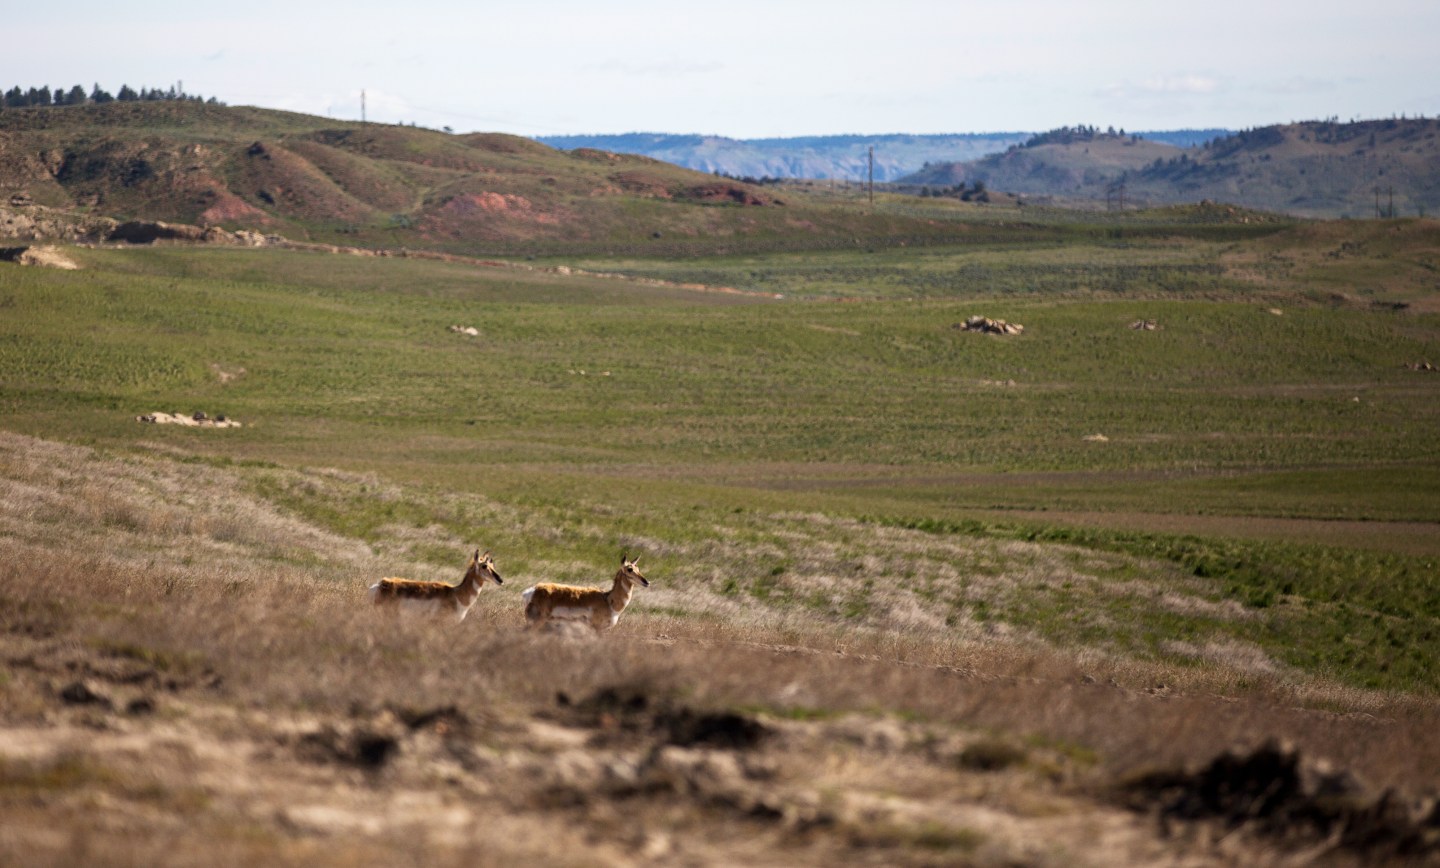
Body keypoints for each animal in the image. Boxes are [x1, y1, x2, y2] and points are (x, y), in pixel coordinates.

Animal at [521, 553, 649, 633]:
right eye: (629, 569)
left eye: (638, 568)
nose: (646, 582)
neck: (608, 600)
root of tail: (533, 590)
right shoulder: (597, 628)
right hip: (537, 622)